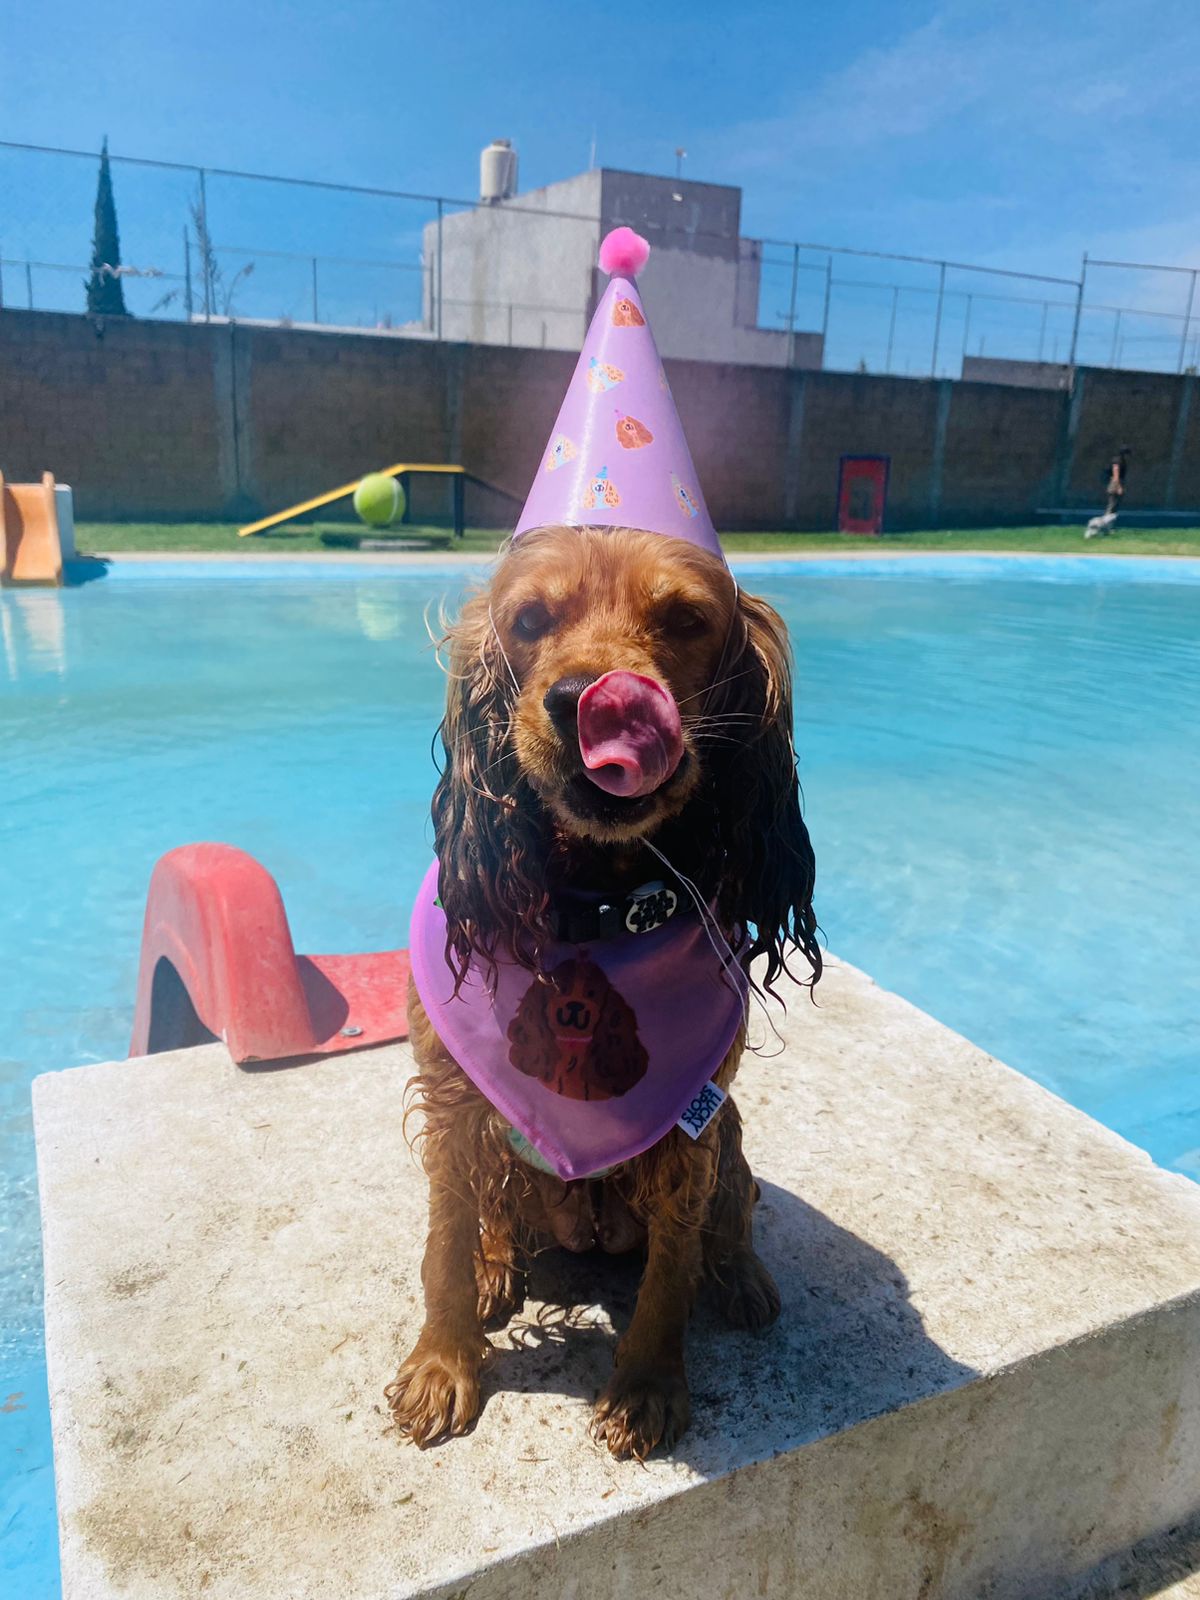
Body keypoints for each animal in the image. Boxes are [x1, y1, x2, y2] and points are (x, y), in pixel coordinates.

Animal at [390, 528, 825, 1465]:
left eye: (686, 619)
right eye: (528, 620)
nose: (589, 704)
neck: (593, 909)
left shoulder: (690, 1125)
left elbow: (669, 1271)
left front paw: (648, 1388)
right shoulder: (451, 1098)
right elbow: (443, 1236)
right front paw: (444, 1365)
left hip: (729, 1131)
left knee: (732, 1211)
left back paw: (741, 1277)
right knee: (494, 1217)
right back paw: (495, 1270)